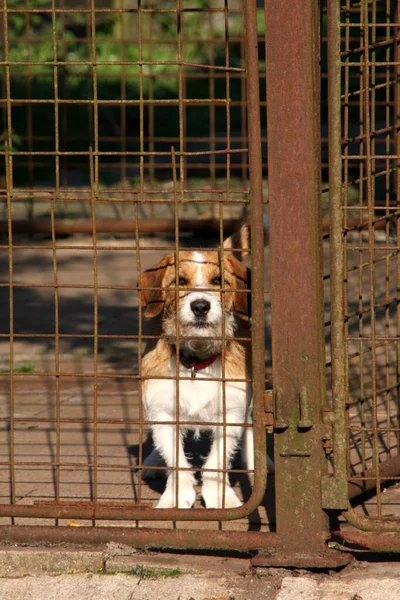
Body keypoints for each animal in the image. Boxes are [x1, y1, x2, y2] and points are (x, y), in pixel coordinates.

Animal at [140, 223, 260, 508]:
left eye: (218, 281)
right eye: (180, 281)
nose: (200, 306)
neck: (196, 362)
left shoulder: (231, 413)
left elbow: (217, 460)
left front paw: (220, 498)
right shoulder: (163, 412)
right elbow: (176, 461)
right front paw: (175, 498)